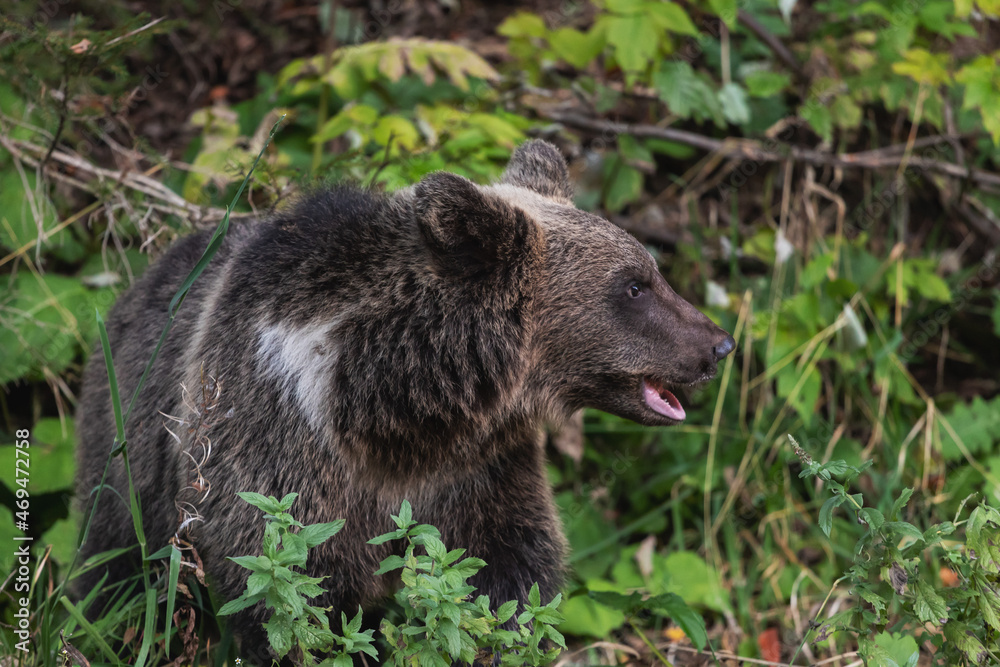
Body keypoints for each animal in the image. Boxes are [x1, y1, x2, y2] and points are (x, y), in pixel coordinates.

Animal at [75, 140, 735, 664]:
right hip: (131, 447)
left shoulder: (479, 470)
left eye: (650, 271)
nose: (718, 344)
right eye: (633, 285)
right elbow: (287, 597)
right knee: (115, 566)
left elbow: (510, 581)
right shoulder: (274, 445)